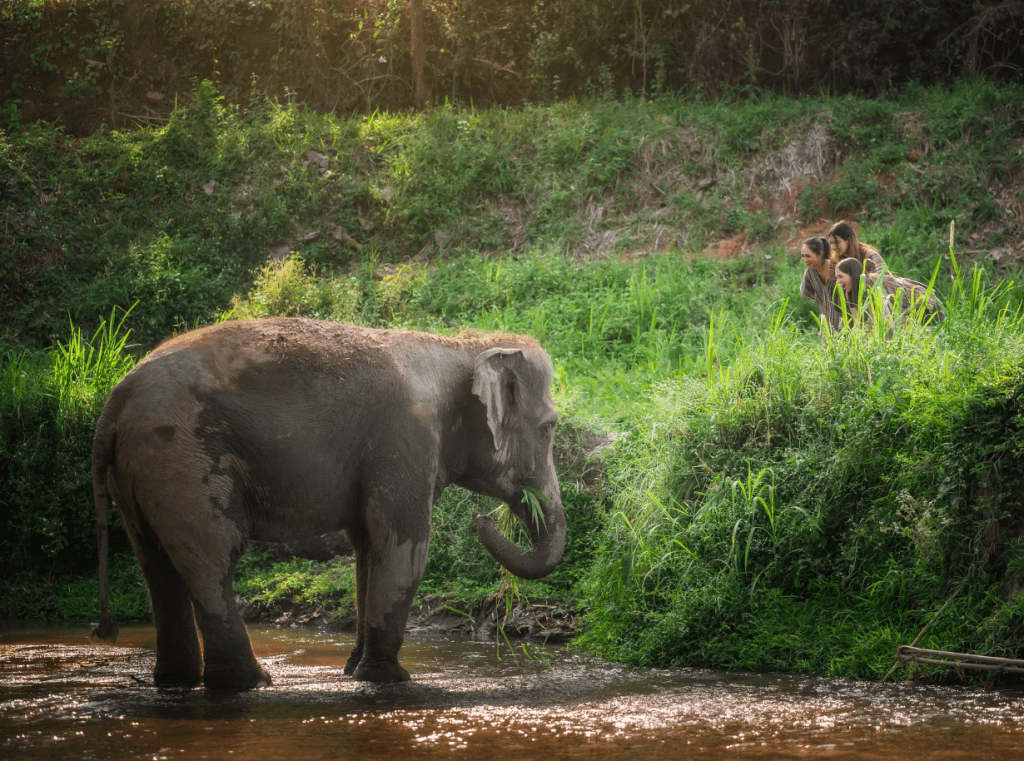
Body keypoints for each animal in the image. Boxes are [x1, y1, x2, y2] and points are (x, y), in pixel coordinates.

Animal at [91, 318, 565, 689]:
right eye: (549, 428)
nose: (484, 520)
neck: (457, 347)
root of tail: (115, 399)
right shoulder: (405, 438)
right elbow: (403, 547)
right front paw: (389, 679)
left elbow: (368, 550)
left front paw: (354, 671)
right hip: (180, 459)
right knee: (212, 558)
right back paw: (249, 683)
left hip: (140, 472)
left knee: (157, 566)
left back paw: (178, 682)